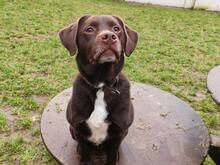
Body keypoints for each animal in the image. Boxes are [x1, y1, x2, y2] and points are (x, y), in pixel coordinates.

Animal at [58, 15, 138, 165]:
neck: (101, 86)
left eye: (116, 29)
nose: (109, 36)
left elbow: (111, 156)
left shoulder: (119, 132)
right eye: (89, 29)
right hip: (71, 129)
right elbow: (84, 154)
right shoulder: (78, 129)